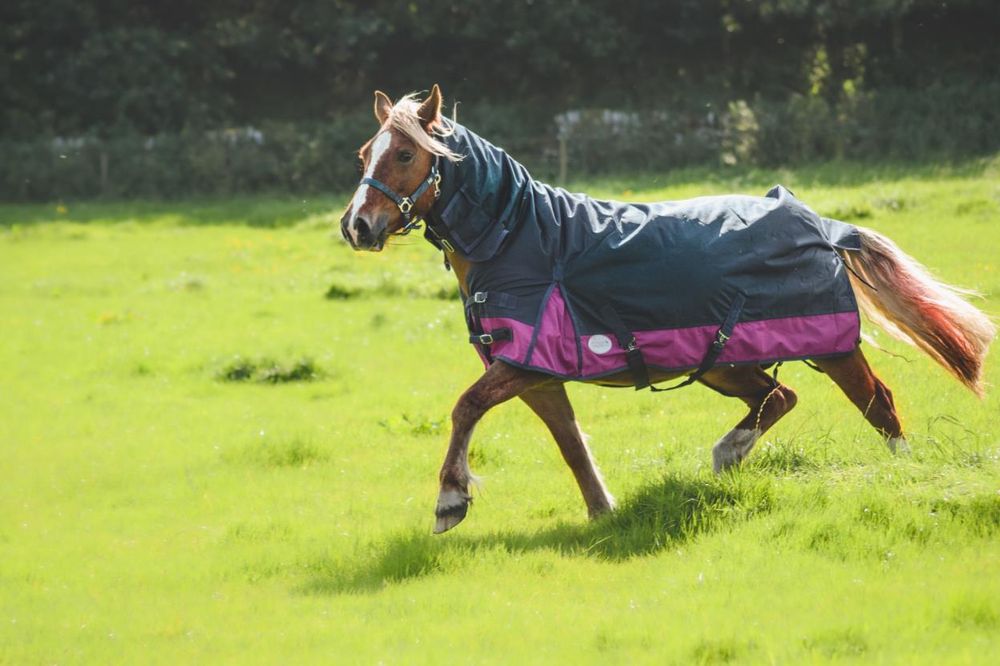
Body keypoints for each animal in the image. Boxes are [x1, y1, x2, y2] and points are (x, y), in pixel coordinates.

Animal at [339, 85, 995, 534]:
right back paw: (729, 454)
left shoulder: (522, 366)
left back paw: (903, 474)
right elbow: (570, 445)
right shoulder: (537, 376)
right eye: (365, 153)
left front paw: (450, 500)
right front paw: (603, 515)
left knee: (877, 404)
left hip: (831, 349)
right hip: (721, 363)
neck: (523, 238)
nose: (357, 226)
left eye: (405, 155)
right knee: (778, 397)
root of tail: (817, 222)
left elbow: (465, 407)